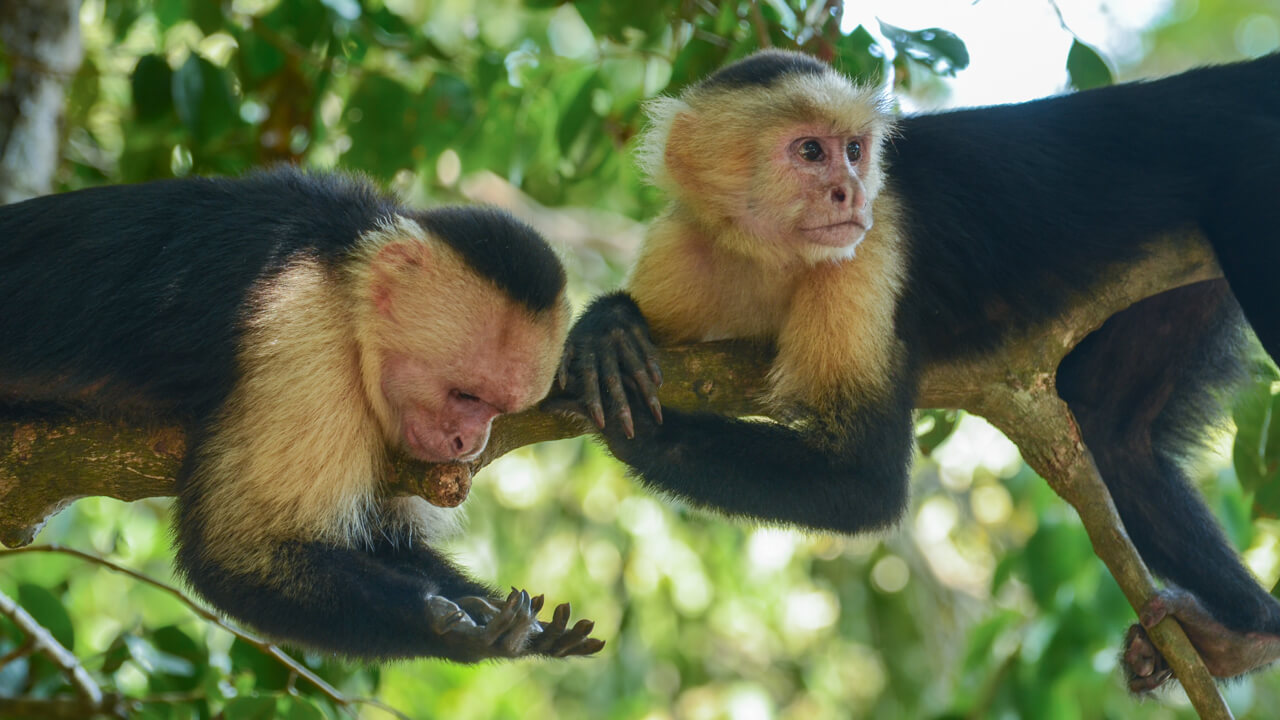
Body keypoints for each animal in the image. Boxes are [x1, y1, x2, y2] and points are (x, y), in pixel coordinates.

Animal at [0, 166, 603, 662]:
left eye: (501, 410)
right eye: (466, 397)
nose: (468, 445)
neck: (343, 271)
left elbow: (382, 538)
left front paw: (523, 627)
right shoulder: (303, 334)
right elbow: (239, 550)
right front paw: (458, 633)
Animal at [555, 50, 1280, 689]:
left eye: (854, 150)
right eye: (810, 152)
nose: (848, 191)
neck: (767, 255)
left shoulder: (867, 252)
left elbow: (865, 481)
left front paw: (642, 435)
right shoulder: (681, 249)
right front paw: (607, 331)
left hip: (1248, 167)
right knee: (1113, 433)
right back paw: (1247, 634)